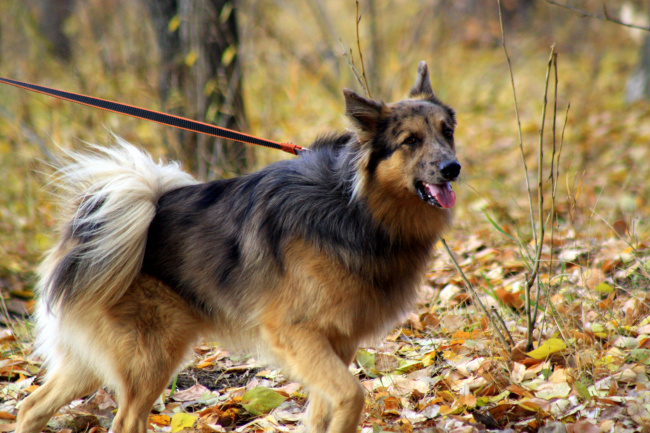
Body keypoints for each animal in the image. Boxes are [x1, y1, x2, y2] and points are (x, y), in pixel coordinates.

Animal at [16, 60, 460, 432]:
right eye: (410, 140)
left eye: (447, 132)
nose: (453, 168)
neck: (355, 205)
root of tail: (83, 235)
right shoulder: (296, 334)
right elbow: (352, 396)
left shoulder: (337, 343)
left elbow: (326, 411)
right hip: (151, 356)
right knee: (125, 420)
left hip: (93, 362)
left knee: (31, 407)